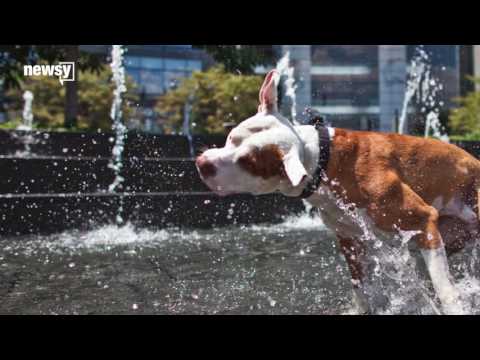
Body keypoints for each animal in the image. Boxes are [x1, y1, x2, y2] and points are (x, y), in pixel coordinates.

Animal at [195, 69, 480, 314]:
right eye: (231, 137)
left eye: (248, 162)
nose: (202, 163)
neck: (324, 161)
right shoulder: (350, 239)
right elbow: (361, 288)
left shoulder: (422, 220)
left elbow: (446, 290)